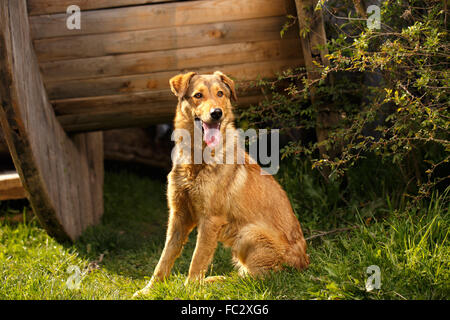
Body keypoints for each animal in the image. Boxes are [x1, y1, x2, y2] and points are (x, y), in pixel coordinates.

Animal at [134, 70, 310, 298]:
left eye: (220, 94)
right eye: (198, 95)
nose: (216, 113)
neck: (196, 161)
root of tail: (304, 264)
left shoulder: (210, 220)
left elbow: (197, 260)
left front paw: (190, 291)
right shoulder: (179, 216)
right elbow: (165, 258)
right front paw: (149, 290)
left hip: (249, 234)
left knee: (252, 280)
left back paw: (216, 284)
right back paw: (214, 281)